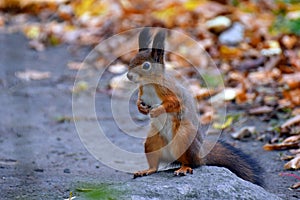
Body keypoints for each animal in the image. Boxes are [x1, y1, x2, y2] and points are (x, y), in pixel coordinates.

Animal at [126, 27, 262, 186]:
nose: (129, 76)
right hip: (152, 142)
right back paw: (147, 170)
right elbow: (140, 101)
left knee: (190, 162)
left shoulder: (172, 93)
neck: (149, 84)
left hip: (184, 138)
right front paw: (140, 108)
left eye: (146, 65)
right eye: (132, 60)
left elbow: (174, 104)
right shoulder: (143, 94)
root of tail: (201, 155)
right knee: (155, 164)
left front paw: (157, 111)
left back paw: (184, 168)